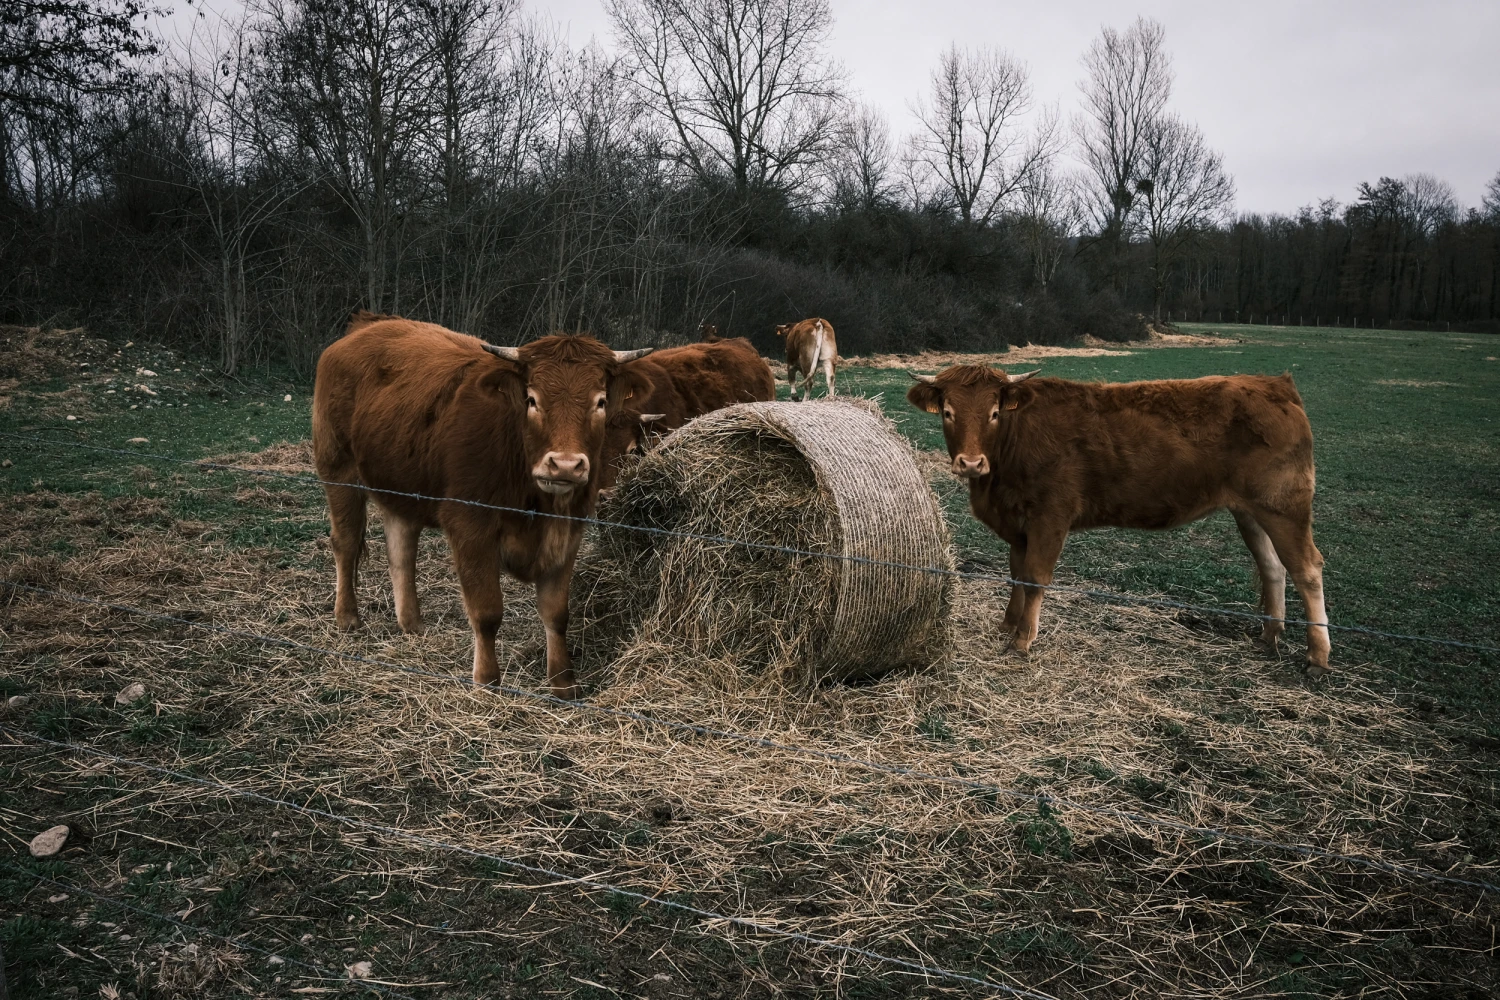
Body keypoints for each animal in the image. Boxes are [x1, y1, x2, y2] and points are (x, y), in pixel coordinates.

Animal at [311, 311, 655, 699]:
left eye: (599, 402)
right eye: (531, 399)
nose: (565, 465)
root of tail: (368, 325)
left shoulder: (569, 532)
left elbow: (556, 613)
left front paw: (564, 682)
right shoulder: (469, 525)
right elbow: (488, 612)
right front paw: (488, 681)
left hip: (401, 484)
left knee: (401, 551)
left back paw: (412, 624)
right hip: (338, 471)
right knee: (346, 543)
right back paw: (348, 617)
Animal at [907, 365, 1331, 675]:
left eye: (994, 413)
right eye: (948, 413)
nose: (971, 463)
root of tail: (1272, 383)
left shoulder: (1050, 517)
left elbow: (1035, 577)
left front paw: (1023, 640)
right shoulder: (1018, 525)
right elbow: (1017, 575)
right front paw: (1008, 625)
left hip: (1284, 507)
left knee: (1307, 568)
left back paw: (1317, 656)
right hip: (1251, 512)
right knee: (1273, 566)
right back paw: (1269, 634)